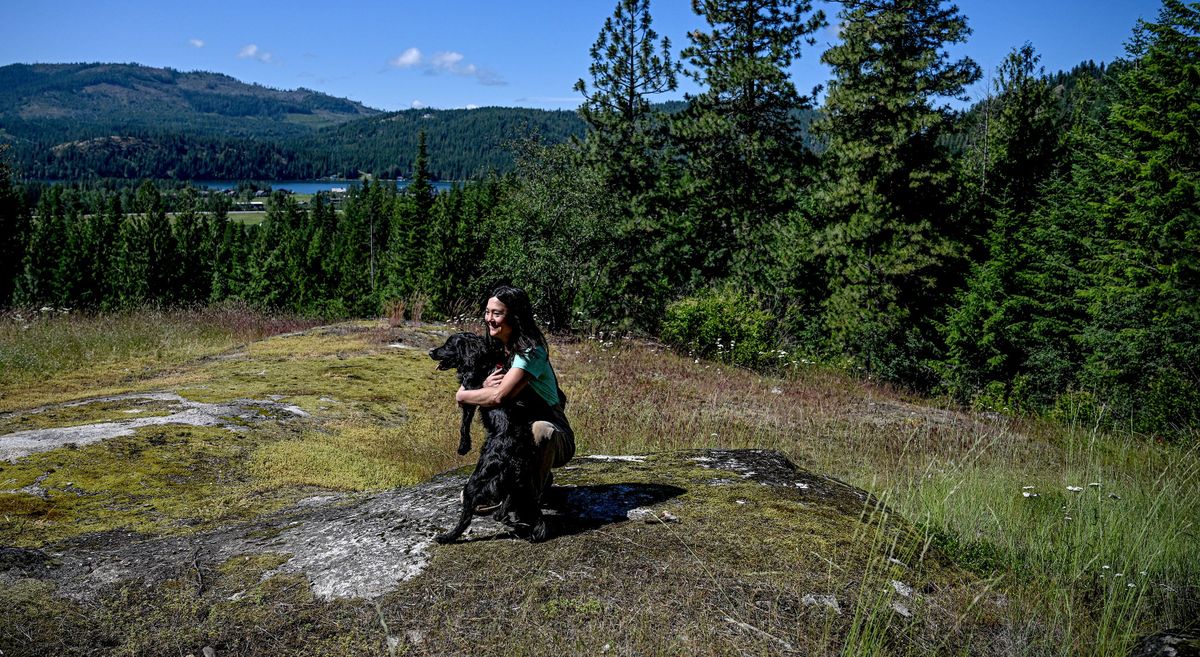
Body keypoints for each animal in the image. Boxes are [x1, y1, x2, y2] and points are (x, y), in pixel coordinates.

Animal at [429, 333, 547, 544]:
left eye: (449, 344)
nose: (430, 352)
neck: (481, 356)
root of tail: (515, 458)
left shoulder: (470, 390)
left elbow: (464, 423)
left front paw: (463, 447)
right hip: (516, 479)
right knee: (510, 502)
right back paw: (504, 517)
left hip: (476, 481)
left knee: (467, 516)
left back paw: (448, 536)